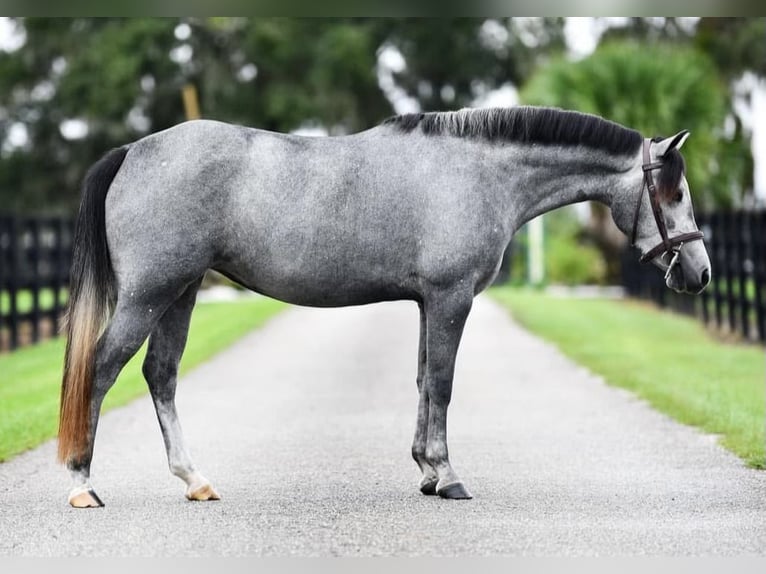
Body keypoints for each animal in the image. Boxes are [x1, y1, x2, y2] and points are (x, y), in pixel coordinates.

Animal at [57, 104, 712, 508]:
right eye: (674, 191)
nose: (699, 274)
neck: (478, 172)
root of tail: (134, 151)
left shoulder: (428, 302)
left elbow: (423, 381)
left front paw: (426, 470)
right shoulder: (450, 298)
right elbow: (443, 383)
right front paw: (448, 478)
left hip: (181, 293)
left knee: (160, 375)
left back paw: (195, 481)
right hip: (149, 294)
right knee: (101, 369)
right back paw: (83, 482)